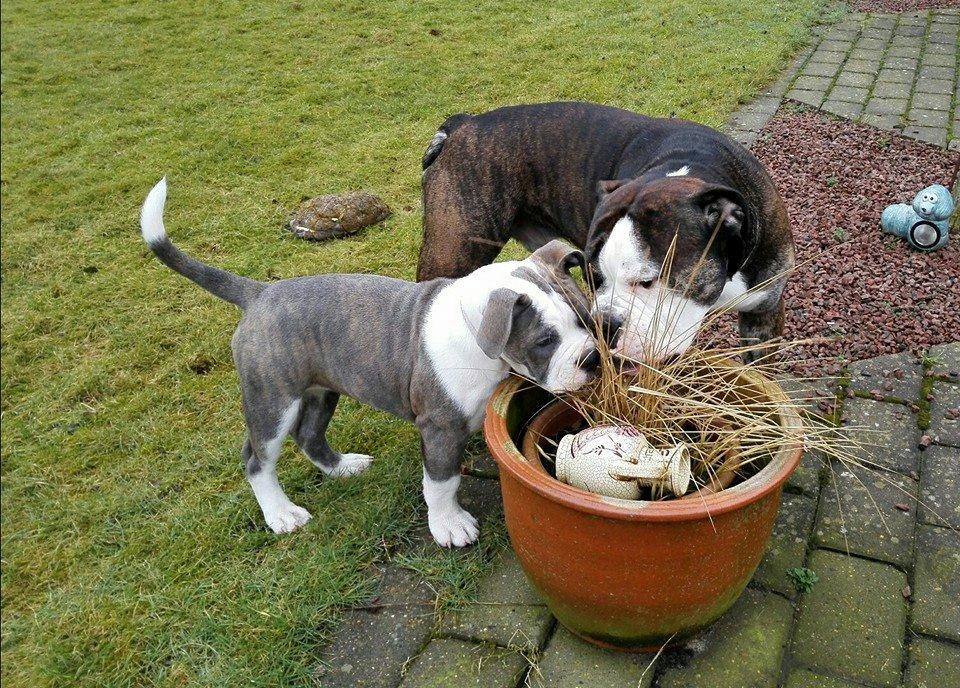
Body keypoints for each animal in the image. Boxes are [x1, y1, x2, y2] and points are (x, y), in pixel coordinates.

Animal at [141, 179, 600, 548]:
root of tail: (260, 293)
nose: (593, 358)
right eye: (545, 341)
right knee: (258, 459)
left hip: (321, 390)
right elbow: (441, 480)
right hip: (273, 400)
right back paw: (281, 514)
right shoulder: (439, 426)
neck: (478, 334)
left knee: (309, 435)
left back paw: (343, 467)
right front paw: (449, 525)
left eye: (586, 320)